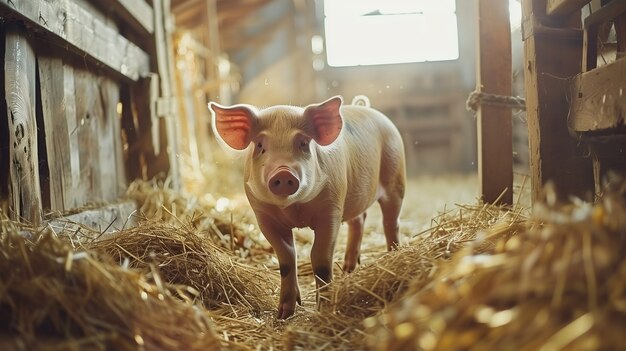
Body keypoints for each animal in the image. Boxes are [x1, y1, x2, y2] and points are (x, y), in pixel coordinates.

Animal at [207, 95, 408, 320]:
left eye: (303, 143)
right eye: (260, 145)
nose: (283, 172)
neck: (293, 209)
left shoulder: (331, 210)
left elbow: (320, 260)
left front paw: (324, 310)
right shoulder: (264, 217)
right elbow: (287, 259)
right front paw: (283, 314)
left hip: (396, 180)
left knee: (391, 222)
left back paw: (393, 256)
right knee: (359, 221)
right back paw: (348, 269)